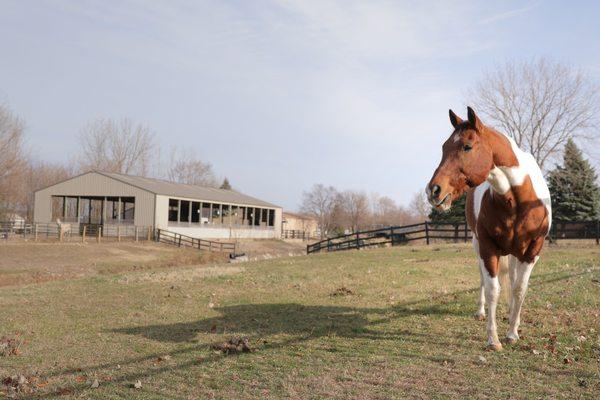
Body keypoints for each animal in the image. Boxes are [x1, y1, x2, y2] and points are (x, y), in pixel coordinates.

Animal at [424, 107, 552, 350]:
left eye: (467, 146)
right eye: (444, 147)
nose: (433, 190)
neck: (518, 200)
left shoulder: (533, 251)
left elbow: (519, 289)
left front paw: (512, 332)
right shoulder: (487, 247)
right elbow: (493, 289)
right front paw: (493, 340)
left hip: (516, 253)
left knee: (513, 279)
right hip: (478, 246)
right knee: (484, 279)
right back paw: (481, 312)